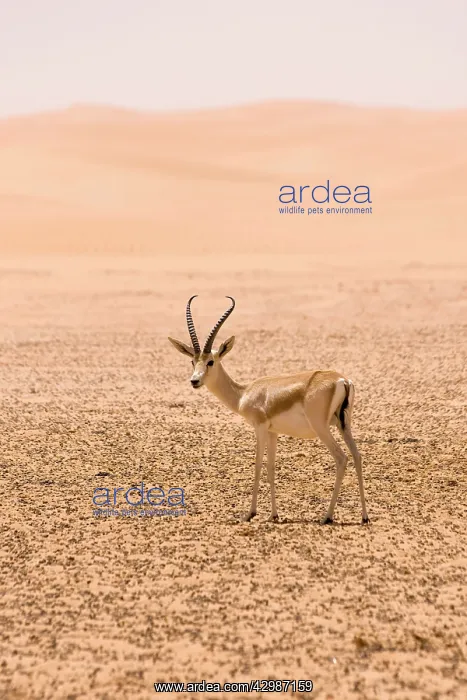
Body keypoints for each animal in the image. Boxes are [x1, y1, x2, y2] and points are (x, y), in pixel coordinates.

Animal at [168, 296, 369, 525]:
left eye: (211, 361)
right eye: (193, 361)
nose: (194, 381)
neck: (245, 392)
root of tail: (342, 380)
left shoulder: (261, 428)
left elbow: (258, 465)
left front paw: (250, 513)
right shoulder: (273, 432)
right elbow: (271, 467)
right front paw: (274, 514)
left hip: (322, 429)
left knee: (342, 458)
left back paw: (326, 517)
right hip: (344, 426)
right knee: (357, 456)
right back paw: (364, 516)